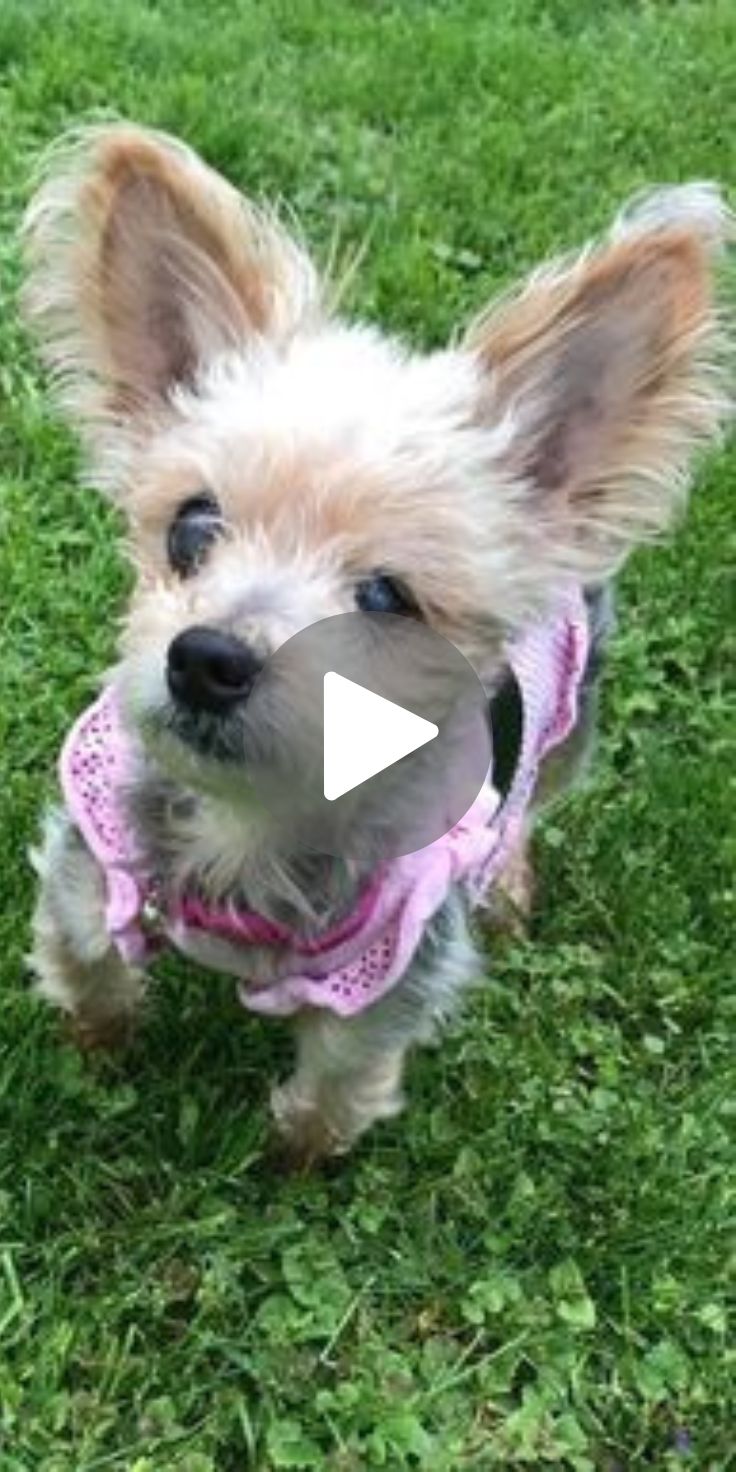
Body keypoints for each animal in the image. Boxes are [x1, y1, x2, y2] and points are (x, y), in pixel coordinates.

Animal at [23, 126, 730, 1159]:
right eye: (191, 528)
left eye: (388, 597)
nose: (207, 659)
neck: (251, 820)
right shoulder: (90, 863)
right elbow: (86, 965)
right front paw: (97, 1050)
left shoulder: (390, 977)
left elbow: (336, 1084)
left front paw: (295, 1159)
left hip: (571, 719)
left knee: (535, 805)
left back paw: (509, 883)